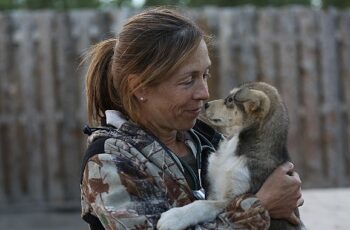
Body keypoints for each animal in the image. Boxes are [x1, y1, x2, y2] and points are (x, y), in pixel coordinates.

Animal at [157, 82, 304, 229]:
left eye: (230, 100)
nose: (206, 104)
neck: (233, 148)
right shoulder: (213, 188)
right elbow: (206, 201)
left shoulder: (235, 197)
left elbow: (204, 205)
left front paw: (174, 217)